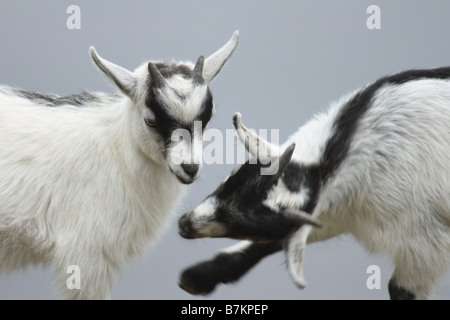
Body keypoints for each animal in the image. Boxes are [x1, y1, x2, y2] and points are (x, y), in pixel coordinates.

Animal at [179, 68, 450, 300]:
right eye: (232, 176)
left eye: (248, 225)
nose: (185, 223)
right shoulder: (334, 213)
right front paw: (198, 276)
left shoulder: (422, 239)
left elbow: (402, 287)